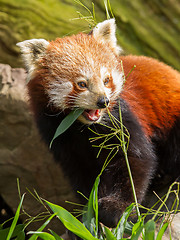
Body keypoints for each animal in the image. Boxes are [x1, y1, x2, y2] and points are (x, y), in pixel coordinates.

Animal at [16, 18, 180, 227]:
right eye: (82, 84)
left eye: (106, 80)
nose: (103, 101)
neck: (82, 127)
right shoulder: (61, 136)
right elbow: (83, 173)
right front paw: (87, 211)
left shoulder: (121, 118)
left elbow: (135, 160)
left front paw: (115, 207)